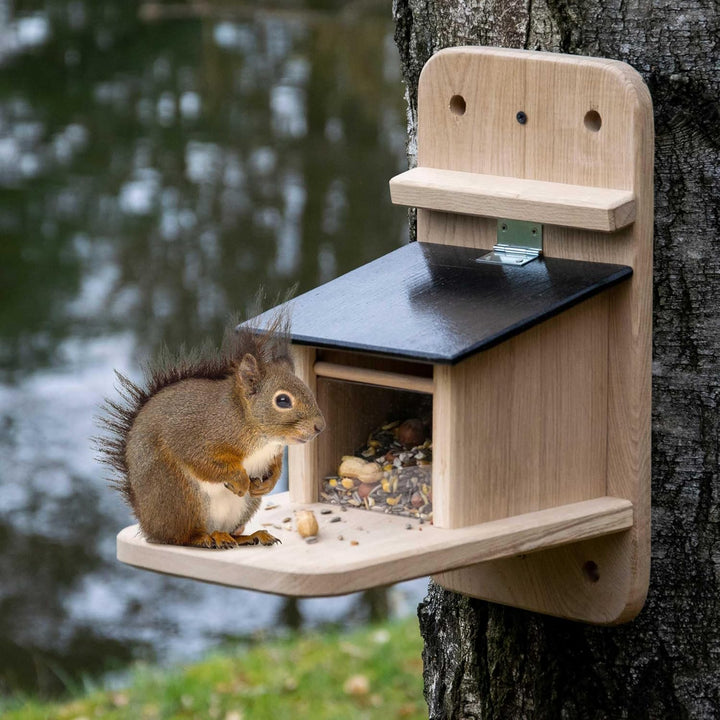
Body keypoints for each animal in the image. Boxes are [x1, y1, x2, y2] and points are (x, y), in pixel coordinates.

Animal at [97, 308, 325, 549]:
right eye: (282, 400)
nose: (320, 426)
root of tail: (148, 524)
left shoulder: (273, 453)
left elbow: (275, 468)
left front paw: (267, 484)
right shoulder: (196, 439)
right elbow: (207, 464)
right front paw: (241, 480)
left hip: (241, 508)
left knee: (230, 532)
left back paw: (249, 536)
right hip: (178, 495)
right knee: (181, 538)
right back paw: (206, 538)